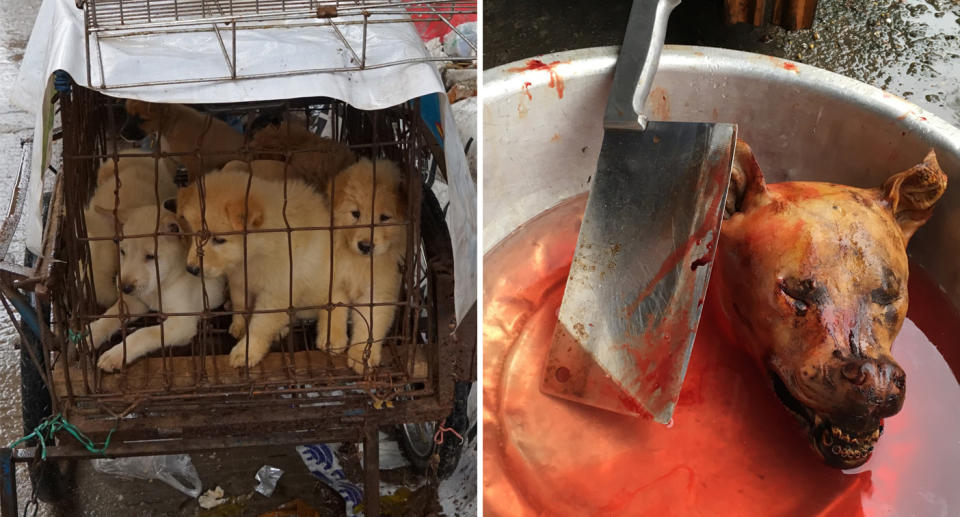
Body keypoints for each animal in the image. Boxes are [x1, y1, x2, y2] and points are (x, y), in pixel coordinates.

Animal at [326, 156, 408, 370]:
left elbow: (369, 326)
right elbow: (334, 309)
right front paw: (332, 339)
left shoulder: (378, 293)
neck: (360, 263)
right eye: (355, 213)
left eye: (384, 217)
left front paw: (361, 357)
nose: (364, 245)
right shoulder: (334, 277)